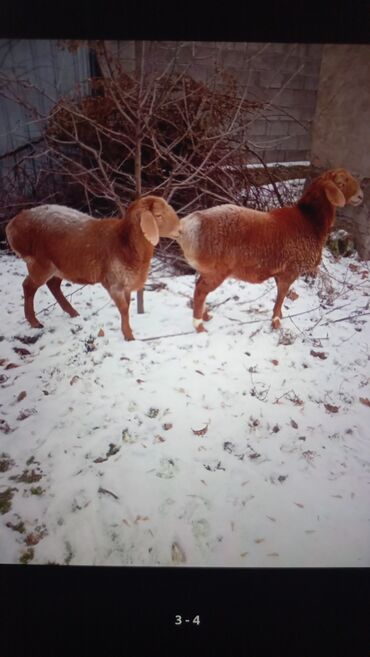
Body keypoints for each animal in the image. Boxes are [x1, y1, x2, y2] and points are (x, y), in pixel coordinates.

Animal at [5, 193, 179, 338]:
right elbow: (123, 309)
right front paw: (129, 336)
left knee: (53, 285)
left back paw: (73, 313)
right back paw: (34, 322)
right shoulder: (113, 283)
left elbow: (127, 306)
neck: (124, 243)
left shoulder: (126, 284)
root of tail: (12, 225)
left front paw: (127, 332)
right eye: (158, 215)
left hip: (61, 266)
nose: (179, 229)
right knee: (28, 286)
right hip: (40, 263)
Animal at [178, 169, 362, 334]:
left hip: (206, 269)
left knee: (198, 287)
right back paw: (199, 325)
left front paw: (279, 316)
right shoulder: (290, 271)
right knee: (200, 290)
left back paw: (205, 316)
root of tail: (187, 225)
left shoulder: (279, 273)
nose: (361, 196)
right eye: (341, 182)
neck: (309, 221)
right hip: (216, 270)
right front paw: (276, 323)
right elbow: (281, 297)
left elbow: (280, 297)